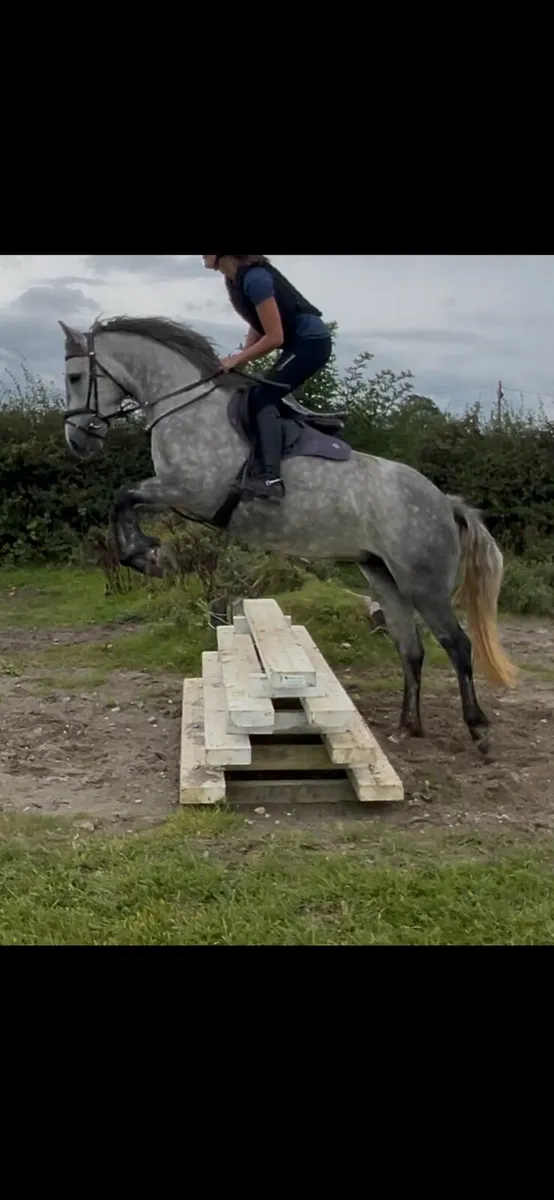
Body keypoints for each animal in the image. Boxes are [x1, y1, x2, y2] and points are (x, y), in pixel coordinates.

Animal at [59, 314, 517, 756]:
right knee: (411, 646)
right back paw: (408, 726)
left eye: (75, 378)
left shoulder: (188, 489)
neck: (185, 406)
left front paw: (149, 556)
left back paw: (479, 730)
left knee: (457, 645)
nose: (77, 441)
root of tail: (444, 501)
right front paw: (147, 554)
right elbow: (124, 500)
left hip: (424, 584)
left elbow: (124, 496)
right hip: (383, 575)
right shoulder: (178, 494)